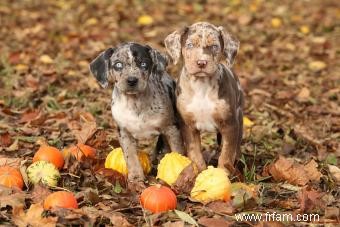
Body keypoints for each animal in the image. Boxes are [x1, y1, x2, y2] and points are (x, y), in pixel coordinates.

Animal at [89, 42, 183, 186]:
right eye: (118, 65)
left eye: (143, 64)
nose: (132, 80)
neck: (135, 104)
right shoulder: (124, 134)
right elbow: (131, 157)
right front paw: (136, 178)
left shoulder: (171, 128)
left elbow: (178, 152)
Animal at [164, 21, 242, 174]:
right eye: (189, 45)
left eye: (214, 46)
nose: (201, 62)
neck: (202, 86)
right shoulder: (188, 126)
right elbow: (195, 153)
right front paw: (198, 172)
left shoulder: (230, 124)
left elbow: (227, 153)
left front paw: (222, 173)